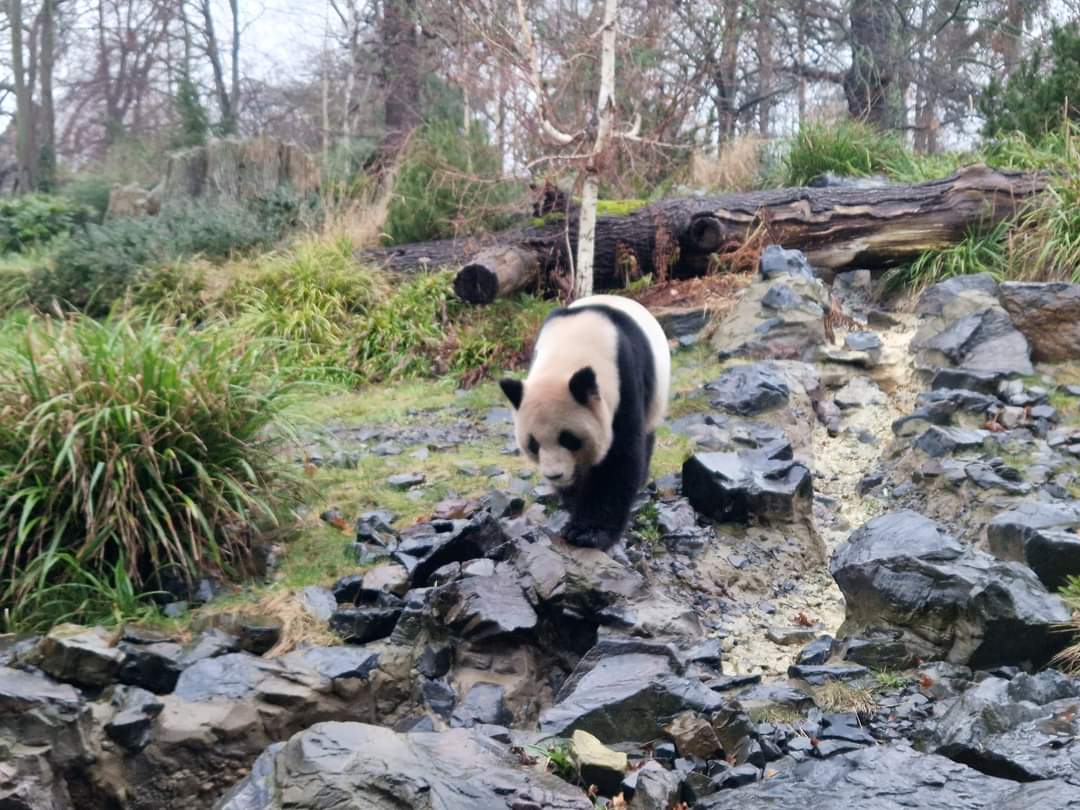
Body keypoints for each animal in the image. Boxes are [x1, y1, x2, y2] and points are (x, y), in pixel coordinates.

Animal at [499, 294, 671, 551]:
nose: (554, 476)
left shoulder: (624, 379)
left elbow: (620, 456)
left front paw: (589, 532)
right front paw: (574, 506)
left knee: (646, 434)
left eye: (569, 439)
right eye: (534, 444)